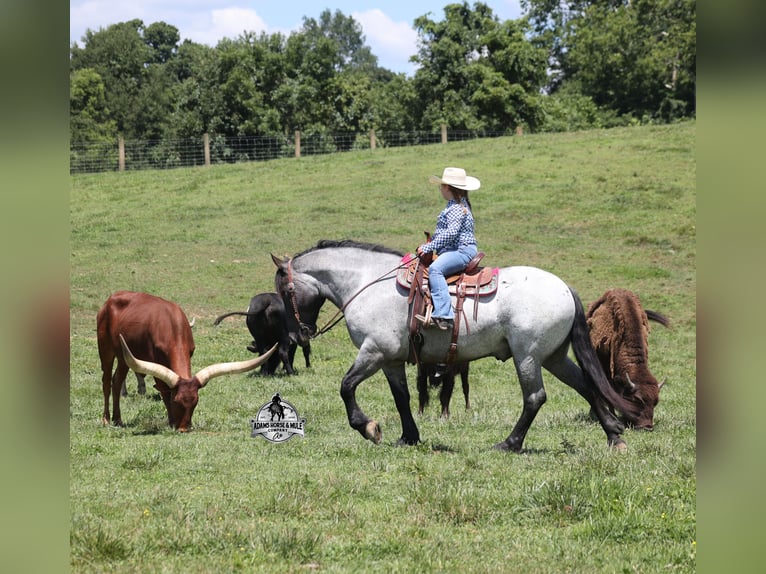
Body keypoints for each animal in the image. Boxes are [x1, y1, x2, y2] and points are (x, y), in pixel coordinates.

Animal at [272, 240, 638, 452]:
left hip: (528, 356)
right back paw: (614, 436)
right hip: (554, 357)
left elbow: (346, 386)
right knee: (586, 385)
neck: (367, 282)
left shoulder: (374, 351)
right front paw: (409, 437)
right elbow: (402, 397)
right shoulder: (391, 360)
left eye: (286, 291)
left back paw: (509, 443)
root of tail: (564, 288)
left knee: (535, 397)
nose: (300, 334)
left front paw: (368, 428)